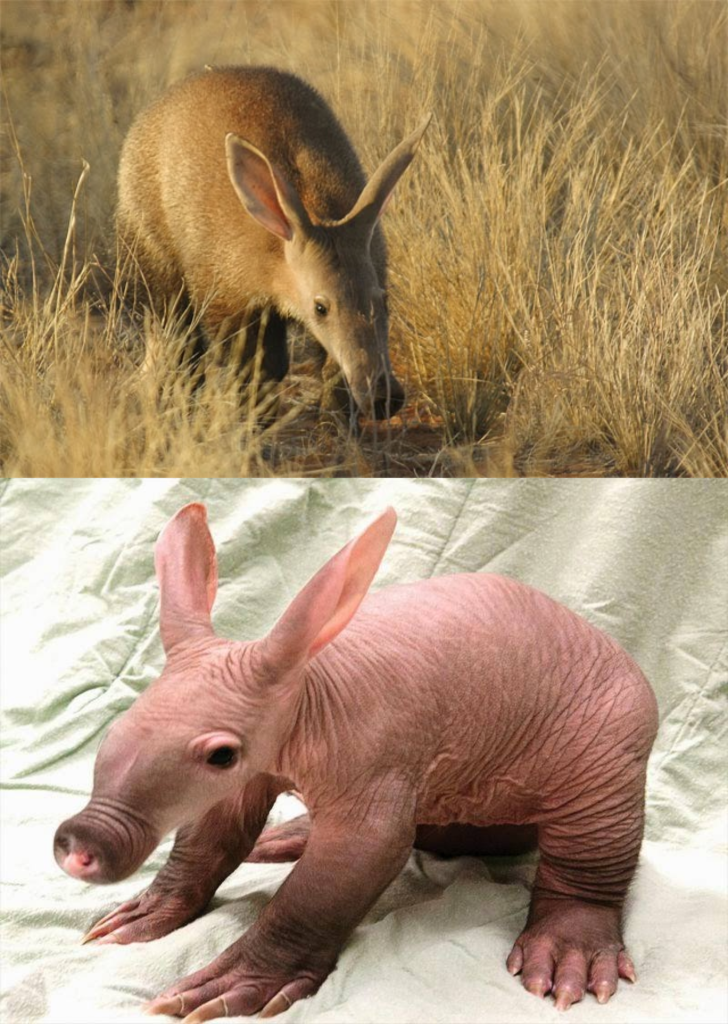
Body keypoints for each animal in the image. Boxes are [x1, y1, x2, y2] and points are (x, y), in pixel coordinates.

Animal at [54, 504, 658, 1022]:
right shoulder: (261, 762)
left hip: (608, 744)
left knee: (593, 841)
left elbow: (344, 868)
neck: (310, 691)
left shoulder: (372, 757)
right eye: (117, 731)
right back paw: (286, 836)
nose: (80, 843)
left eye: (221, 754)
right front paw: (144, 912)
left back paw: (567, 949)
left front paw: (234, 984)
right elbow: (211, 831)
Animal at [117, 66, 430, 420]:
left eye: (383, 299)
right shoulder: (228, 297)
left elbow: (332, 374)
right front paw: (252, 422)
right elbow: (254, 367)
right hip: (153, 257)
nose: (383, 398)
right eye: (320, 307)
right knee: (180, 345)